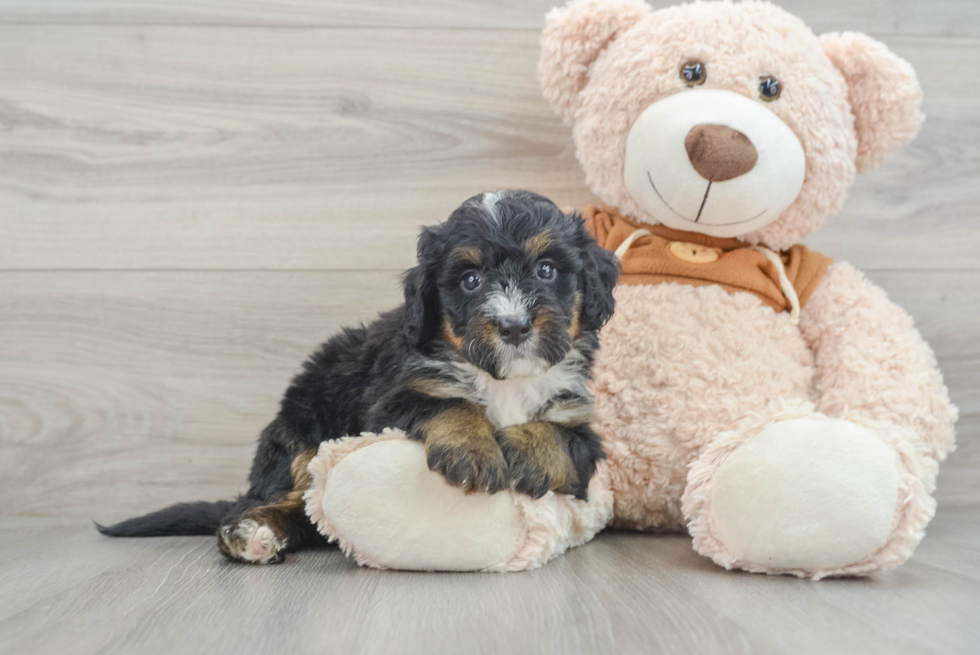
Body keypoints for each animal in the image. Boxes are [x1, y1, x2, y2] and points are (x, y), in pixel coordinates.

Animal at [99, 188, 620, 564]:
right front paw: (473, 450)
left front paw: (525, 450)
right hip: (301, 434)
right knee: (283, 499)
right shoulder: (391, 398)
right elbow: (448, 403)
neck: (503, 380)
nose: (513, 326)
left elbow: (562, 439)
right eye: (470, 280)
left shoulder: (580, 421)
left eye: (547, 270)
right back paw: (252, 531)